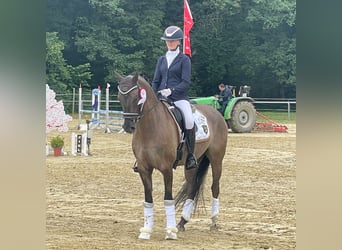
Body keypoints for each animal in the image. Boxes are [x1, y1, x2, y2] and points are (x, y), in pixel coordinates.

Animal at [115, 71, 227, 239]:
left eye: (136, 97)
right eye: (120, 98)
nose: (129, 126)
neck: (150, 127)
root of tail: (216, 112)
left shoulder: (166, 169)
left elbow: (168, 198)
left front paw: (170, 232)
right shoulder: (144, 168)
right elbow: (148, 198)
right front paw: (146, 230)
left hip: (216, 159)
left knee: (215, 187)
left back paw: (213, 221)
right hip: (192, 163)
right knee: (192, 187)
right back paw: (182, 222)